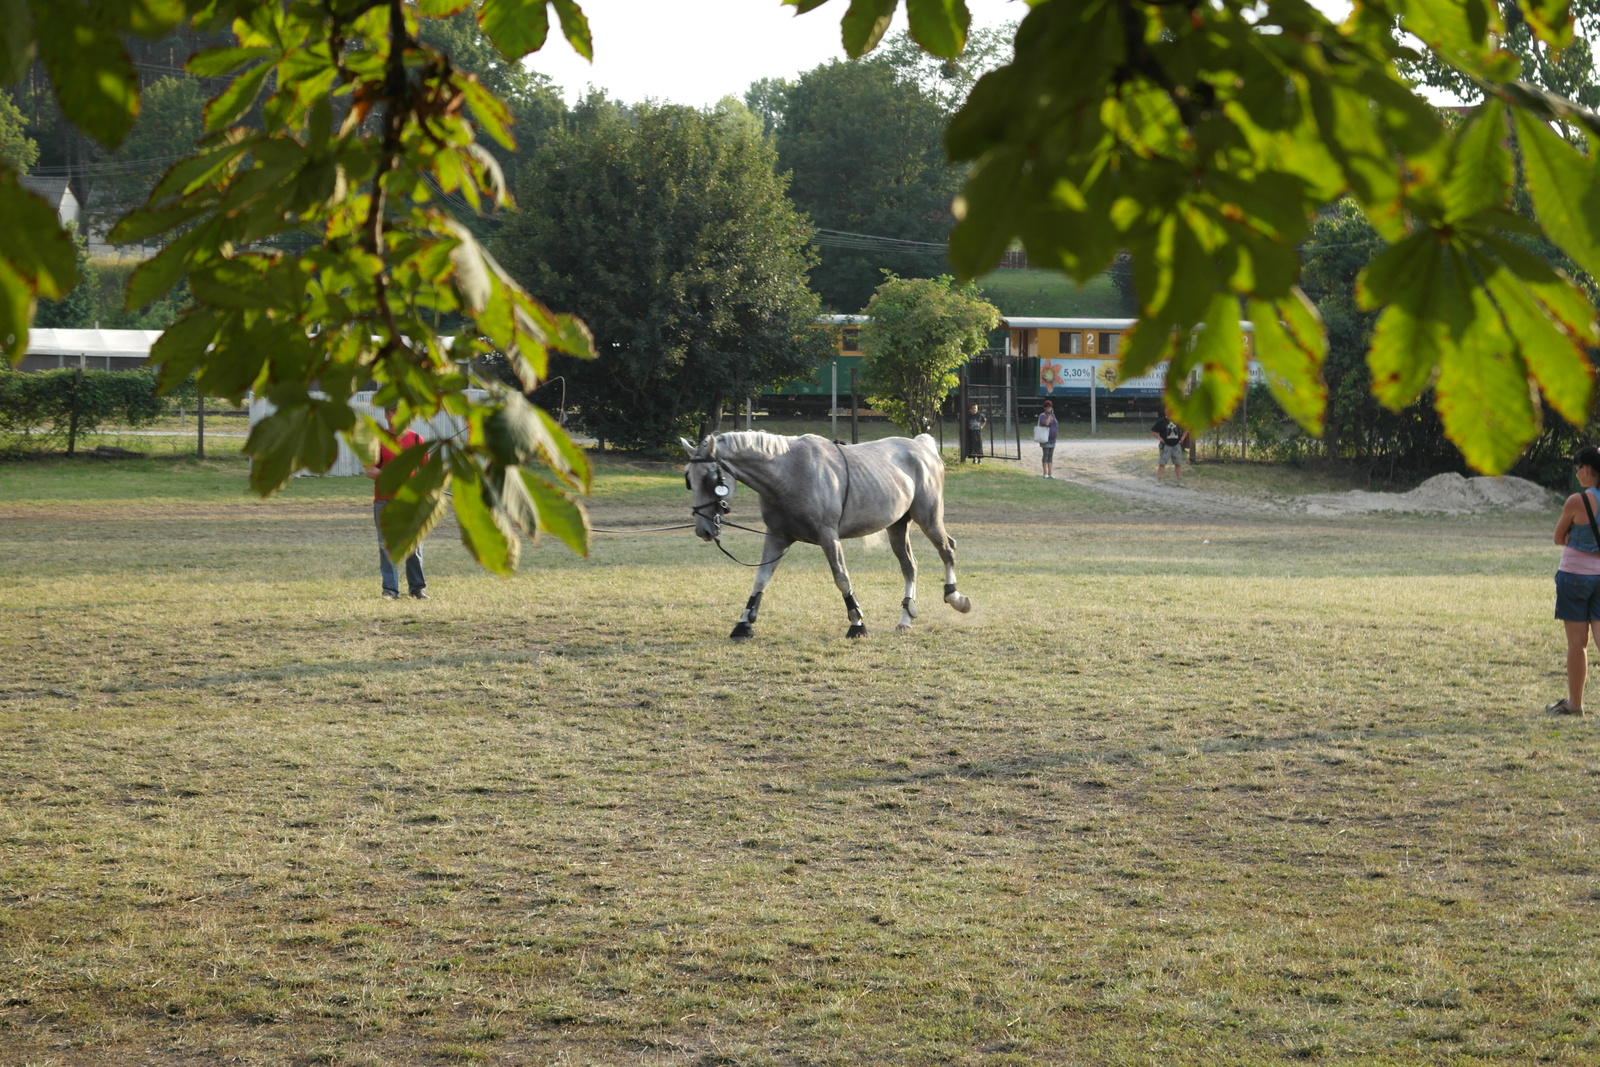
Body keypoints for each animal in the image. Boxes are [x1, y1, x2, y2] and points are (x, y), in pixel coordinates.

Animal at [678, 428, 966, 639]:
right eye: (688, 480)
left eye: (710, 480)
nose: (703, 530)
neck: (790, 473)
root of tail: (922, 446)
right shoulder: (777, 537)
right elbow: (760, 580)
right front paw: (743, 624)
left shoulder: (829, 537)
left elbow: (842, 578)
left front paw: (857, 623)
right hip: (897, 525)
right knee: (909, 565)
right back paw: (905, 617)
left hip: (928, 518)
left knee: (947, 549)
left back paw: (955, 596)